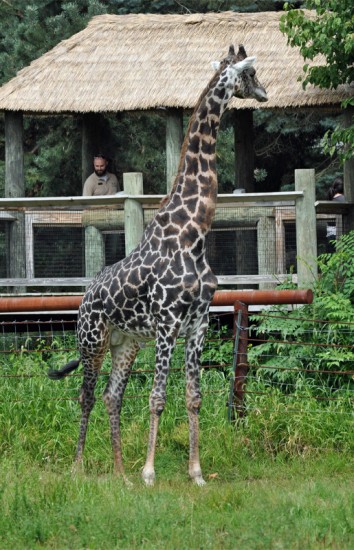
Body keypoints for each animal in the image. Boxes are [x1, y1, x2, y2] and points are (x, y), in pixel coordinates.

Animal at [48, 47, 266, 488]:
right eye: (250, 72)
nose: (265, 93)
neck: (193, 232)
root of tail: (83, 299)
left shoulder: (197, 323)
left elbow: (193, 398)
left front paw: (196, 473)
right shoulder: (168, 323)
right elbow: (157, 397)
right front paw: (150, 472)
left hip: (126, 343)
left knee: (113, 395)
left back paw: (120, 474)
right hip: (92, 340)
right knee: (87, 395)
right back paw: (79, 467)